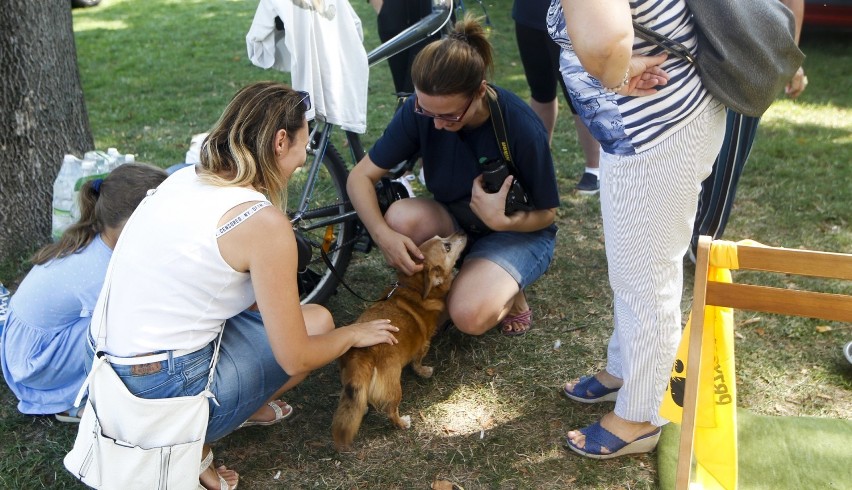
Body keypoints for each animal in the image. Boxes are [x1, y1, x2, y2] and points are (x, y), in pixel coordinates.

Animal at [332, 232, 466, 450]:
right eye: (447, 246)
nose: (463, 232)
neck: (414, 287)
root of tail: (363, 354)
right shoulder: (423, 345)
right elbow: (417, 362)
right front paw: (424, 371)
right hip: (394, 387)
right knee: (391, 411)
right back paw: (402, 423)